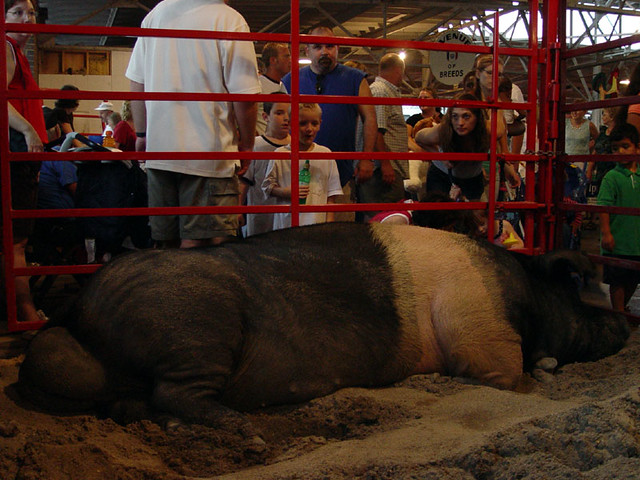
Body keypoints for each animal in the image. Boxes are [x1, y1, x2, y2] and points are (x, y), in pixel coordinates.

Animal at [18, 223, 629, 433]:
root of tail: (80, 310)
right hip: (197, 327)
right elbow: (504, 372)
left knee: (137, 403)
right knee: (178, 395)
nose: (624, 326)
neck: (523, 291)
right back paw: (245, 428)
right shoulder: (481, 332)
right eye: (580, 294)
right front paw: (542, 373)